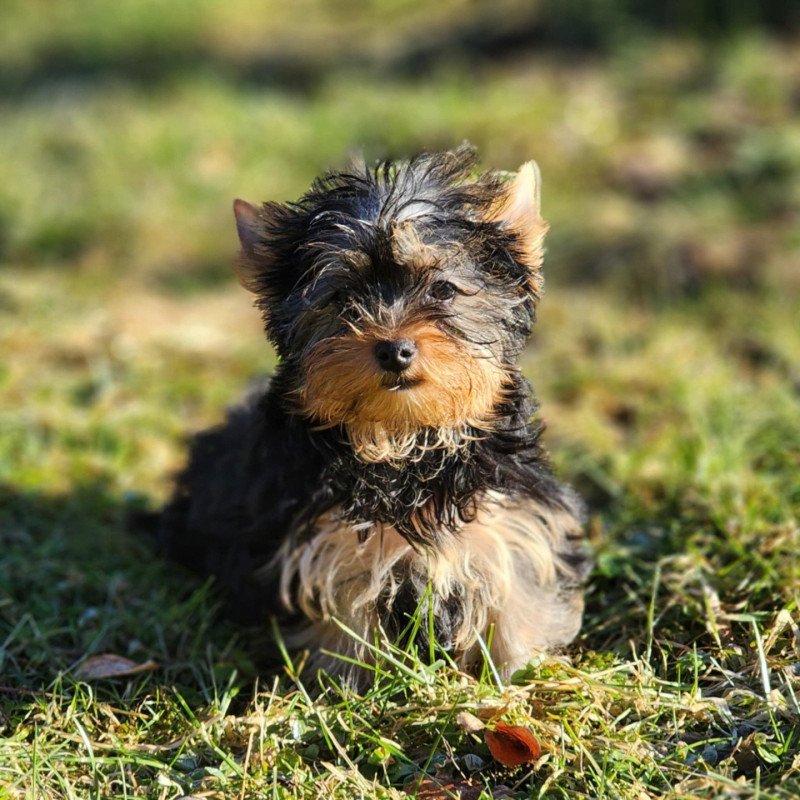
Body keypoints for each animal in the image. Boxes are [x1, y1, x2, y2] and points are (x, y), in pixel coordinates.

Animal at [158, 144, 592, 680]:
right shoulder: (328, 541)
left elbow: (519, 595)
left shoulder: (512, 517)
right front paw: (347, 683)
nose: (394, 349)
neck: (404, 442)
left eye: (443, 290)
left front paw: (520, 674)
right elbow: (345, 620)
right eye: (343, 298)